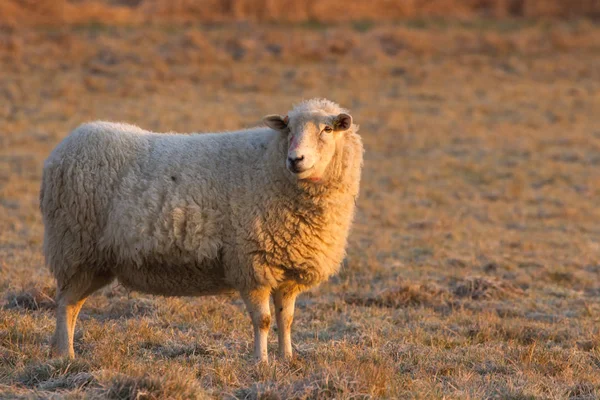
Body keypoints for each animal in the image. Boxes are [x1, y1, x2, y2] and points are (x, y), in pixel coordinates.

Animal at [39, 97, 364, 362]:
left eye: (327, 129)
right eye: (288, 129)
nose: (295, 159)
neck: (270, 165)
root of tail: (63, 148)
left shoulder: (286, 269)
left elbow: (287, 319)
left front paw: (287, 359)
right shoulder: (250, 262)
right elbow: (263, 320)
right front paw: (261, 362)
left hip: (93, 259)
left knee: (73, 304)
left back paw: (60, 351)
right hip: (75, 246)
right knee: (65, 304)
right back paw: (65, 354)